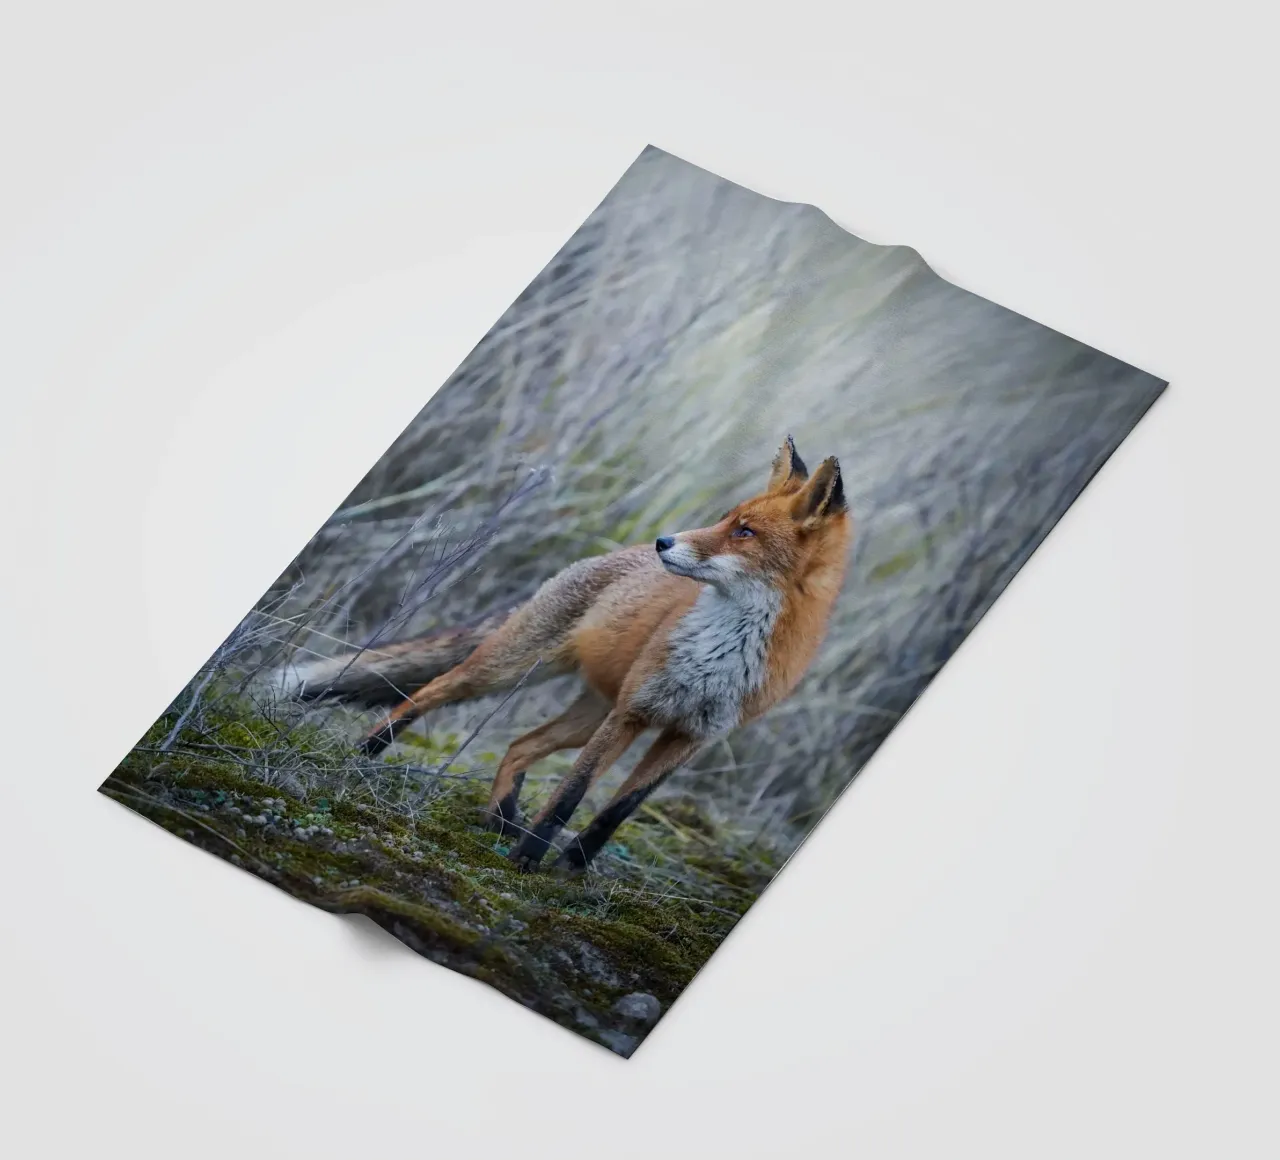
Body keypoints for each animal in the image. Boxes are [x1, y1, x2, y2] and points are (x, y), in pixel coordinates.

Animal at [282, 437, 851, 872]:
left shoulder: (690, 737)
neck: (722, 655)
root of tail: (604, 558)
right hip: (511, 670)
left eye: (744, 532)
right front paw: (528, 860)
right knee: (427, 693)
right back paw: (365, 755)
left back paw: (500, 818)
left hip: (589, 714)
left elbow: (614, 812)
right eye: (725, 519)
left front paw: (571, 869)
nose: (663, 542)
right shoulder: (633, 712)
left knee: (520, 746)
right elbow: (571, 794)